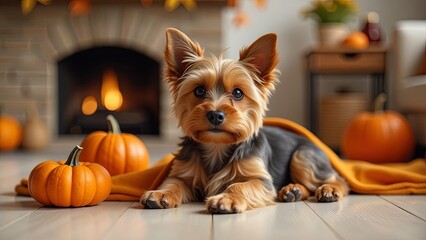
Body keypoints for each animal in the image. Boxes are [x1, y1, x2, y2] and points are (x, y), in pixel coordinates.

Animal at [141, 28, 348, 214]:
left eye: (238, 93)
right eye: (199, 90)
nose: (215, 115)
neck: (217, 146)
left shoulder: (260, 179)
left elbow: (239, 185)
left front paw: (226, 199)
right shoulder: (183, 173)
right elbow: (173, 182)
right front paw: (160, 193)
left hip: (303, 156)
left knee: (339, 180)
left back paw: (328, 190)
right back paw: (293, 190)